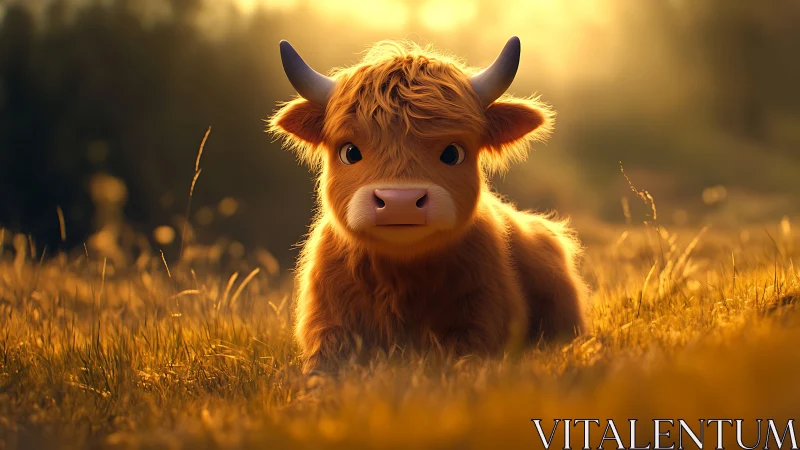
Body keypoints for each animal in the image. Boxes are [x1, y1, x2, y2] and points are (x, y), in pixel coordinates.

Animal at [268, 37, 588, 373]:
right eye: (350, 152)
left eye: (452, 153)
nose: (400, 202)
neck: (400, 280)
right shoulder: (328, 326)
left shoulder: (480, 324)